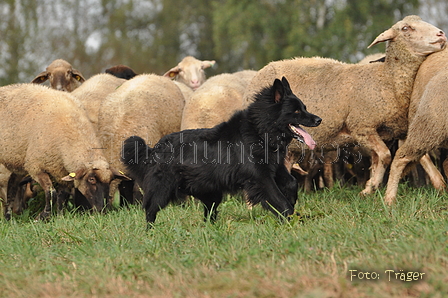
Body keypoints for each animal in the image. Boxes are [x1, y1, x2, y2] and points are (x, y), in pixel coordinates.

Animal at [121, 77, 320, 224]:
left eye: (304, 108)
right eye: (296, 111)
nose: (319, 119)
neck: (260, 130)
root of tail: (155, 148)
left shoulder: (275, 168)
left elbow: (291, 183)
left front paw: (292, 205)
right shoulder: (261, 178)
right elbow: (280, 200)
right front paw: (293, 219)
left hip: (210, 193)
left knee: (209, 214)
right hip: (163, 189)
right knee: (150, 210)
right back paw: (150, 232)